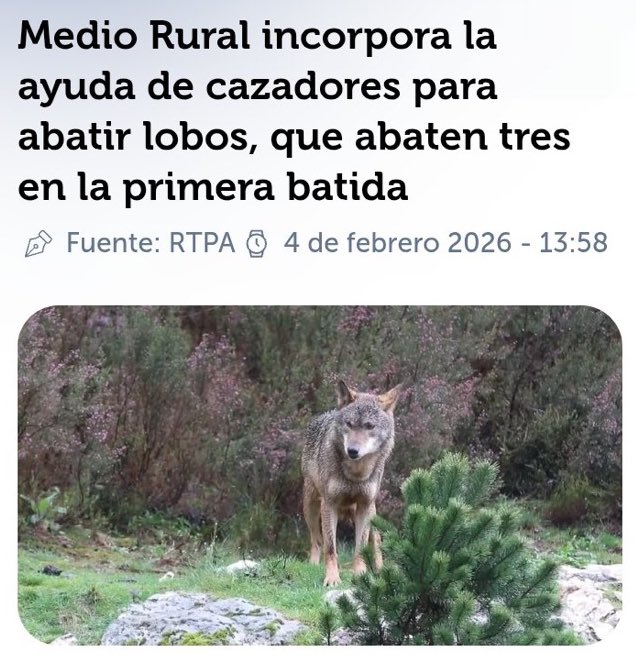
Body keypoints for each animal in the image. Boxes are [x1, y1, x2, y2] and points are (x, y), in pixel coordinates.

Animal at [301, 380, 401, 586]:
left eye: (370, 426)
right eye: (349, 424)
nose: (353, 451)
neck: (356, 474)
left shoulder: (364, 506)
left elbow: (360, 548)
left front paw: (361, 575)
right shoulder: (329, 504)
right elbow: (331, 548)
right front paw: (332, 578)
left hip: (372, 512)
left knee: (376, 542)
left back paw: (379, 570)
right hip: (310, 506)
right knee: (317, 541)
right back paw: (313, 564)